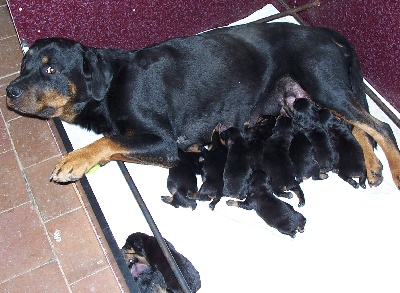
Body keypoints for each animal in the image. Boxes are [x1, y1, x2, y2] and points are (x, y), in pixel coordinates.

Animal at [5, 22, 400, 187]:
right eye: (24, 66)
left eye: (51, 69)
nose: (10, 91)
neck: (111, 83)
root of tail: (322, 31)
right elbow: (116, 145)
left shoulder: (162, 141)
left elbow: (109, 140)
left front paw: (74, 161)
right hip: (308, 95)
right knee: (354, 125)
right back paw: (370, 164)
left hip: (322, 83)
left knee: (380, 125)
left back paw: (394, 170)